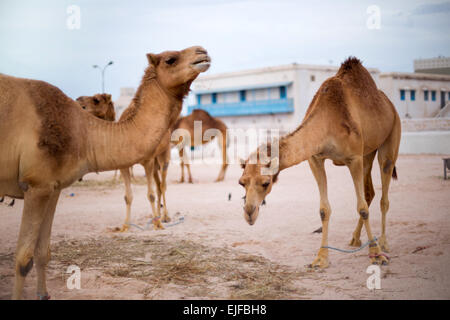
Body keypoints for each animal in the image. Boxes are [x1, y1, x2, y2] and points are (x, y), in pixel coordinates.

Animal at [0, 45, 211, 300]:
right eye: (170, 59)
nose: (202, 51)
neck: (82, 134)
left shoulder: (51, 187)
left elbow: (43, 251)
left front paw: (44, 294)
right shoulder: (38, 185)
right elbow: (24, 258)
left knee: (161, 185)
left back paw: (164, 217)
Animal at [239, 57, 400, 268]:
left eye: (266, 183)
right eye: (242, 183)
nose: (249, 213)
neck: (328, 121)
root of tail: (389, 105)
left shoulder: (354, 158)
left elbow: (362, 208)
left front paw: (376, 255)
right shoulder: (315, 159)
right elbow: (324, 209)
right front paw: (321, 258)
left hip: (390, 138)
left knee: (383, 194)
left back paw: (383, 243)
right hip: (367, 153)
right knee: (369, 192)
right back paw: (355, 239)